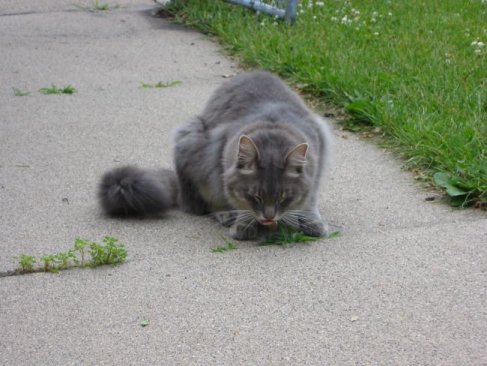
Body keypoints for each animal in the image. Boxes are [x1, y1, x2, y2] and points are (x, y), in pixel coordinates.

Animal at [99, 71, 336, 240]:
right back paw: (225, 216)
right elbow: (236, 203)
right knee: (203, 205)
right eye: (255, 196)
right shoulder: (218, 157)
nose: (268, 217)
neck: (273, 124)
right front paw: (243, 224)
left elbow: (310, 200)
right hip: (192, 141)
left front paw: (311, 222)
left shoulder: (319, 154)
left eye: (284, 197)